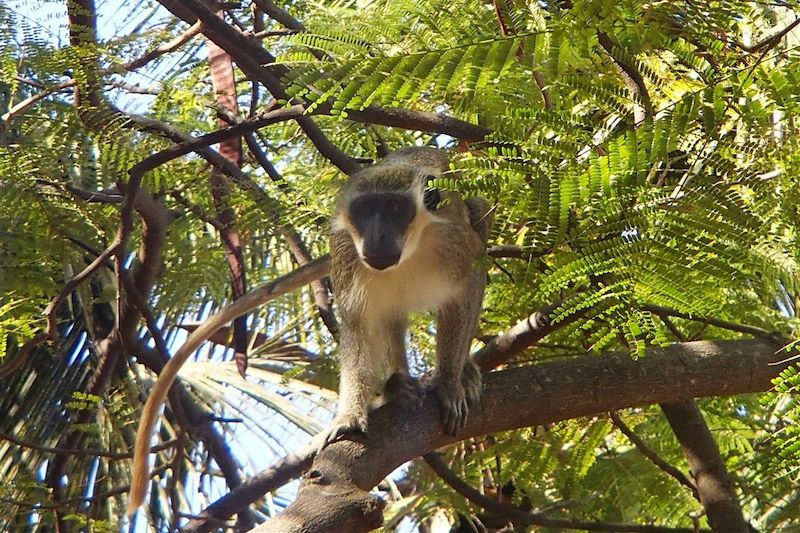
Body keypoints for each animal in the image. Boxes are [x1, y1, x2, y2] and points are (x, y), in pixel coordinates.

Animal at [322, 145, 490, 444]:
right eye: (365, 210)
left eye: (394, 208)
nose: (376, 236)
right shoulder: (344, 250)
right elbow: (358, 323)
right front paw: (349, 415)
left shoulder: (454, 241)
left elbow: (469, 285)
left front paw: (448, 381)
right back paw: (397, 386)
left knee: (479, 208)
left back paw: (465, 371)